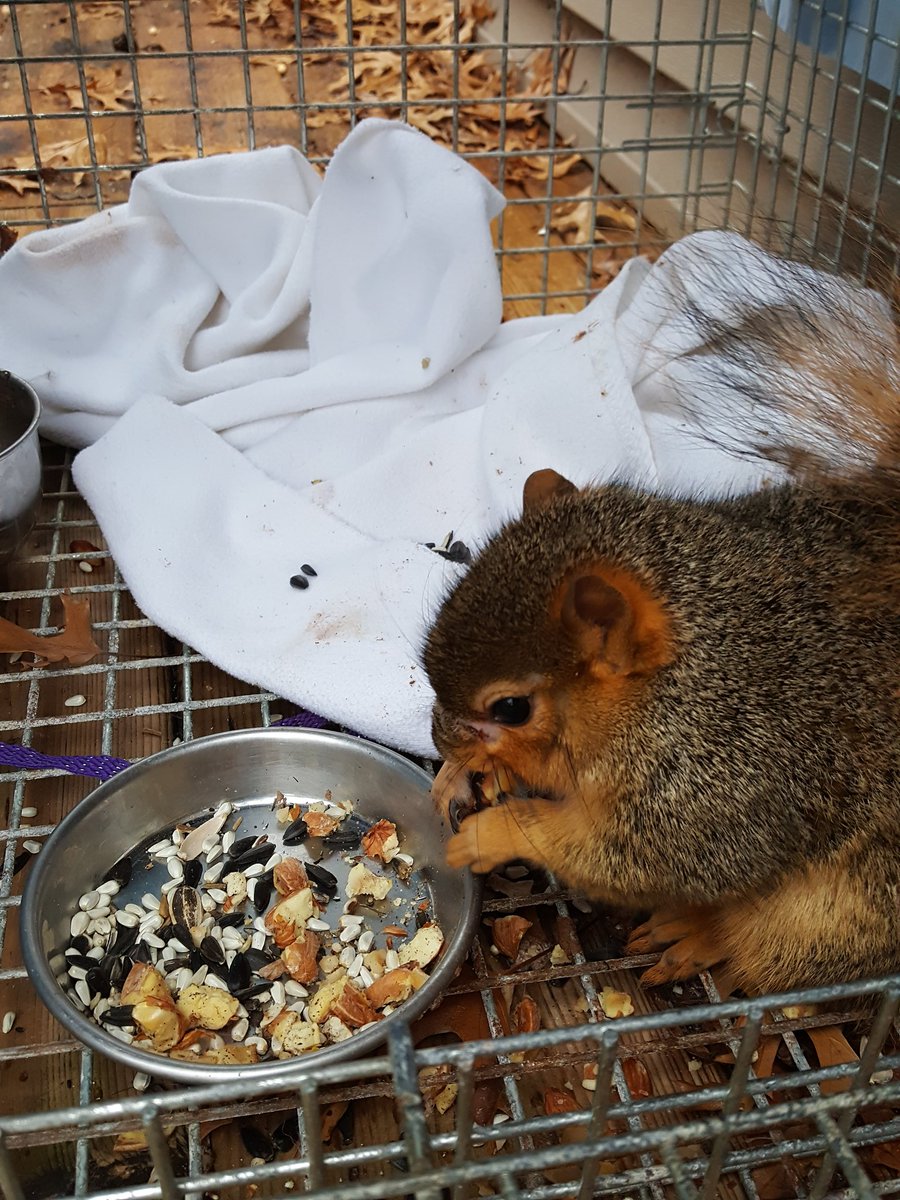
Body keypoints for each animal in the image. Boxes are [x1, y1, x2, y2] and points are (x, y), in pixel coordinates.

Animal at [423, 264, 900, 997]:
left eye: (511, 707)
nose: (436, 740)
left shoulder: (721, 787)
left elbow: (627, 857)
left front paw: (492, 832)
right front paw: (459, 776)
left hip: (836, 913)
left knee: (762, 948)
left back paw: (698, 934)